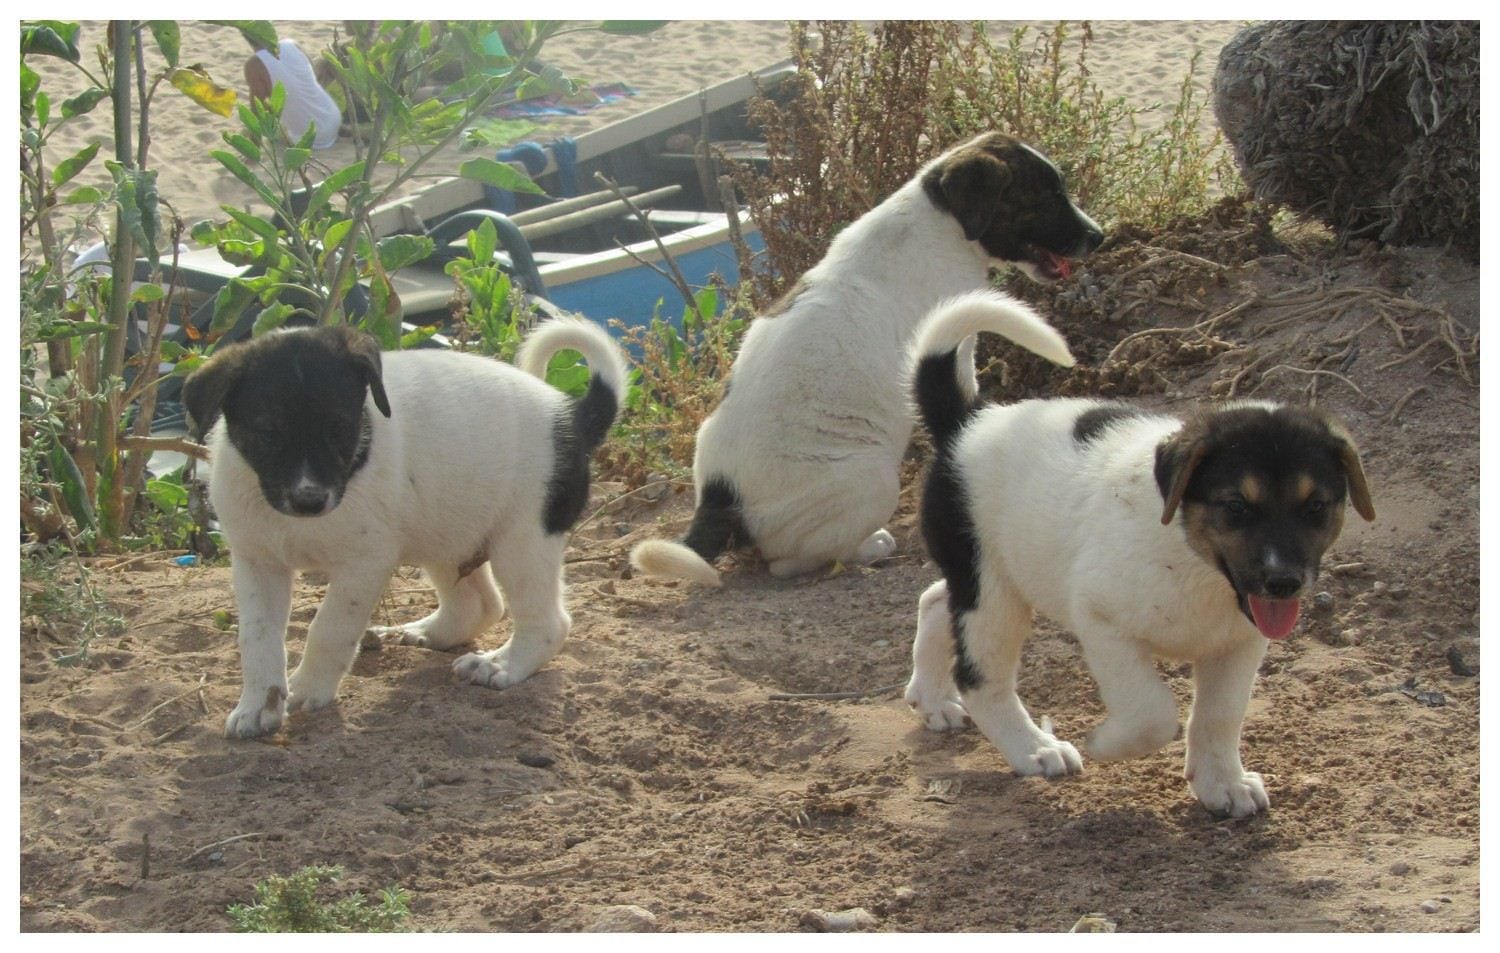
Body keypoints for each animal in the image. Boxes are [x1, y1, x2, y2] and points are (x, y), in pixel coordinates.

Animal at [184, 316, 624, 741]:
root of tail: (572, 417)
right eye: (267, 432)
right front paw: (259, 705)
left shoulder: (364, 565)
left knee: (548, 622)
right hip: (448, 535)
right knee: (480, 606)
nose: (310, 500)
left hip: (523, 541)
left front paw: (308, 688)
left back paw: (501, 664)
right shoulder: (257, 562)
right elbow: (257, 638)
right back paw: (427, 632)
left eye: (340, 428)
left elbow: (328, 628)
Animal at [630, 130, 1104, 585]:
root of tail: (719, 497)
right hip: (872, 480)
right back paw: (867, 547)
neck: (942, 221)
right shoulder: (960, 350)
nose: (1098, 237)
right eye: (1046, 196)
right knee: (788, 561)